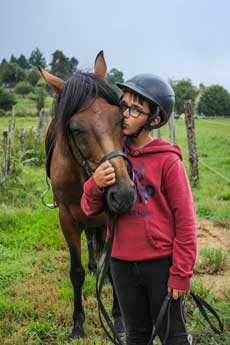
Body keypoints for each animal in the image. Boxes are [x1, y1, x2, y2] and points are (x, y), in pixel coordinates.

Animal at [37, 51, 137, 338]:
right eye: (75, 129)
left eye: (120, 119)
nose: (123, 194)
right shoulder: (67, 220)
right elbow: (76, 271)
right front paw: (78, 324)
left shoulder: (109, 219)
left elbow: (114, 268)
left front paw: (118, 320)